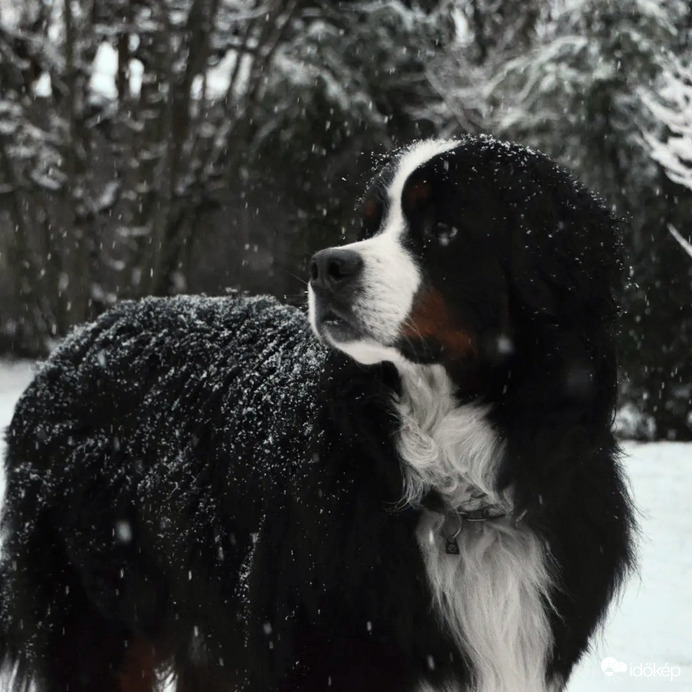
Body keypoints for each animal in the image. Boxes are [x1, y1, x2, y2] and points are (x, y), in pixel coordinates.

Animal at [0, 137, 636, 692]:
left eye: (445, 230)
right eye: (368, 226)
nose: (327, 266)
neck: (453, 487)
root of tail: (72, 345)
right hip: (99, 625)